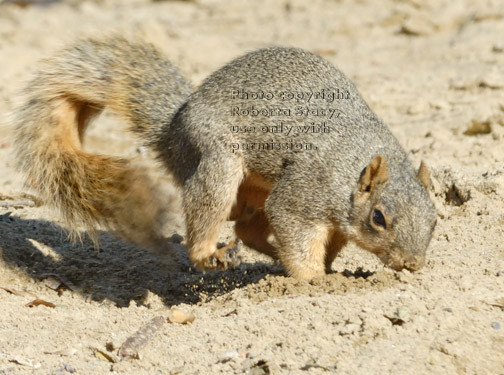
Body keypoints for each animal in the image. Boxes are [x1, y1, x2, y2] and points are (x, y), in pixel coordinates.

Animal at [11, 36, 438, 280]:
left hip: (253, 189)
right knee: (212, 218)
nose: (412, 265)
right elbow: (296, 230)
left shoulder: (334, 224)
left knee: (248, 230)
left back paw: (265, 256)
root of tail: (174, 131)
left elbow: (325, 244)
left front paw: (330, 271)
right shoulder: (305, 192)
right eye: (379, 218)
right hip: (218, 161)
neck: (353, 167)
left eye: (435, 220)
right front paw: (313, 280)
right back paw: (211, 254)